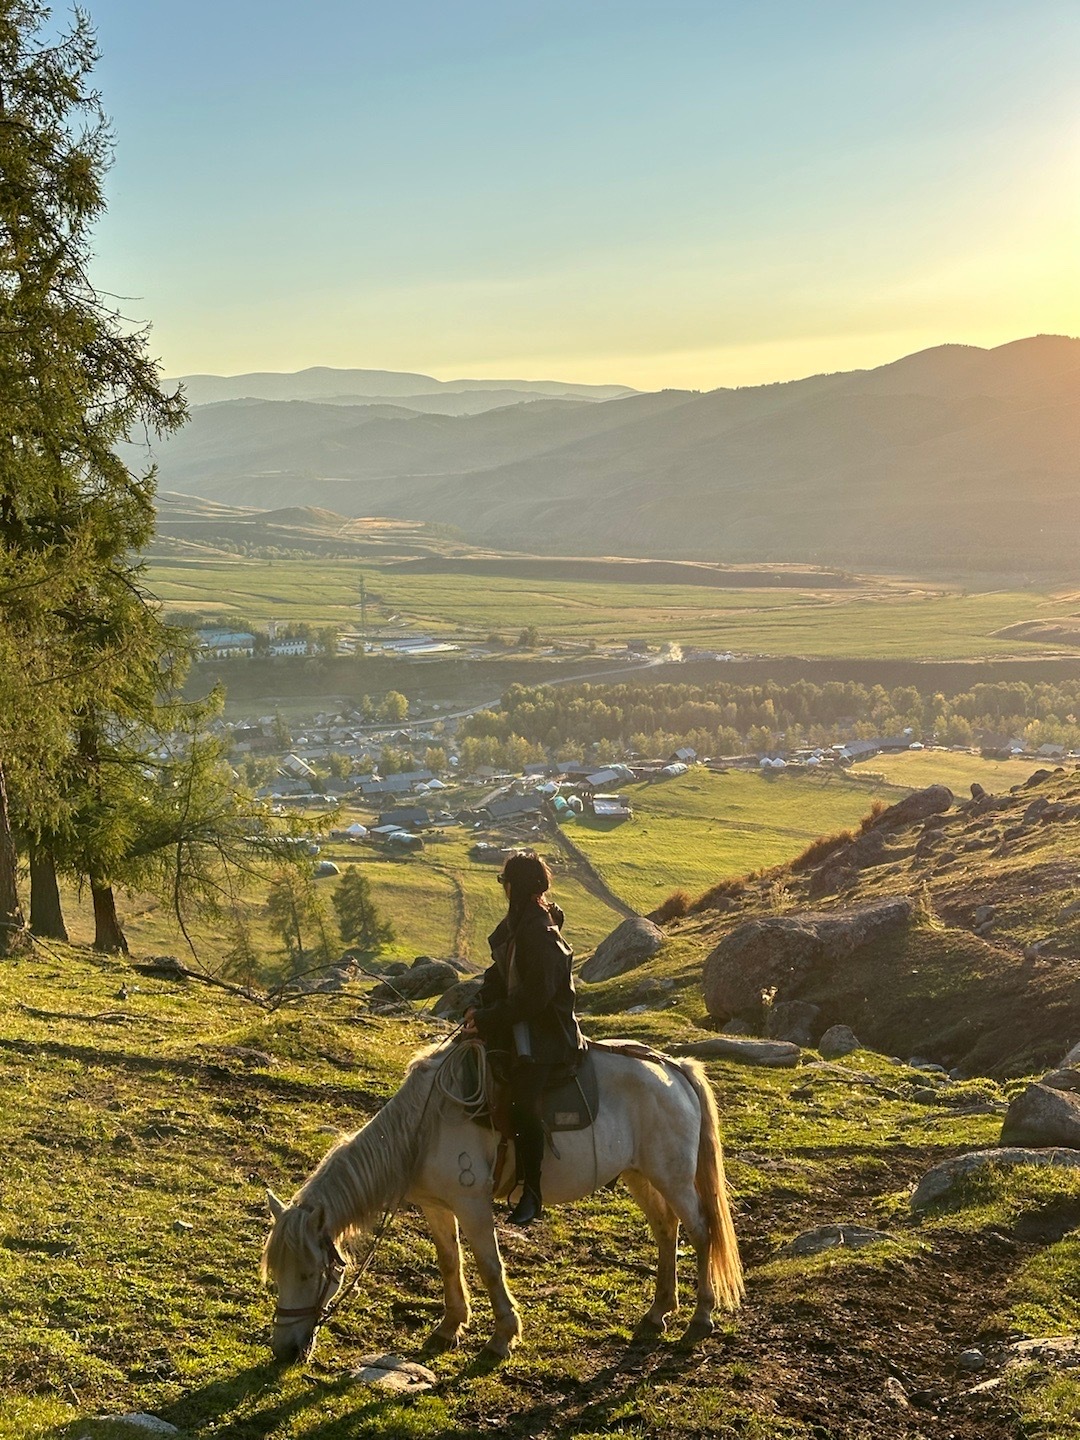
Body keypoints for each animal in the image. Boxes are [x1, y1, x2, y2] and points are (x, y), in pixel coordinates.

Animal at [266, 1036, 748, 1359]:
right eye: (277, 1274)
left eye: (309, 1274)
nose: (284, 1350)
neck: (424, 1129)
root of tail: (674, 1069)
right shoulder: (435, 1206)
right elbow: (449, 1261)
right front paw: (449, 1326)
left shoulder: (473, 1205)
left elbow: (488, 1266)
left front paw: (502, 1336)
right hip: (640, 1175)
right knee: (667, 1231)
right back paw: (659, 1310)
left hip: (674, 1178)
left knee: (701, 1232)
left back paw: (701, 1316)